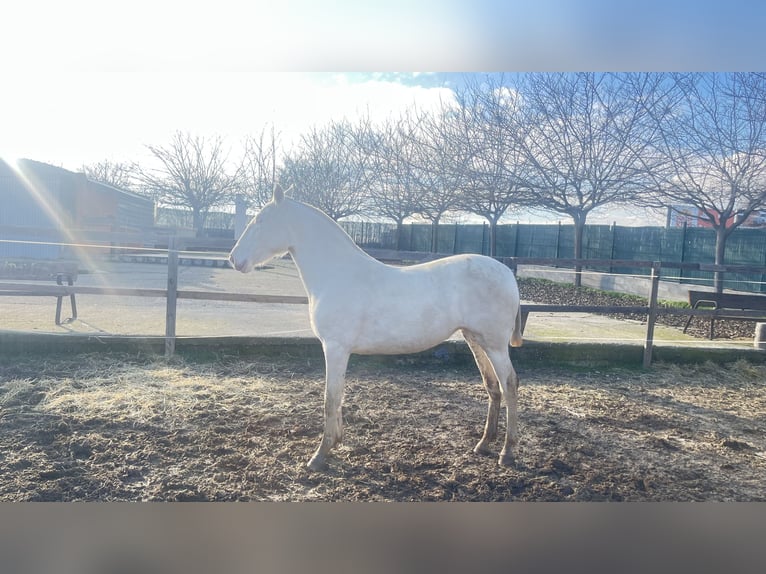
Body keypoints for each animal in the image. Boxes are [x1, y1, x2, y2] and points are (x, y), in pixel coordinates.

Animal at [229, 185, 523, 471]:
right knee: (492, 386)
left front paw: (319, 456)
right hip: (475, 339)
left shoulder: (335, 348)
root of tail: (507, 273)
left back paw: (507, 452)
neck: (337, 274)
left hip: (495, 345)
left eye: (260, 221)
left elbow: (330, 399)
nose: (234, 259)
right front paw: (335, 443)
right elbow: (339, 397)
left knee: (509, 383)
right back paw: (483, 444)